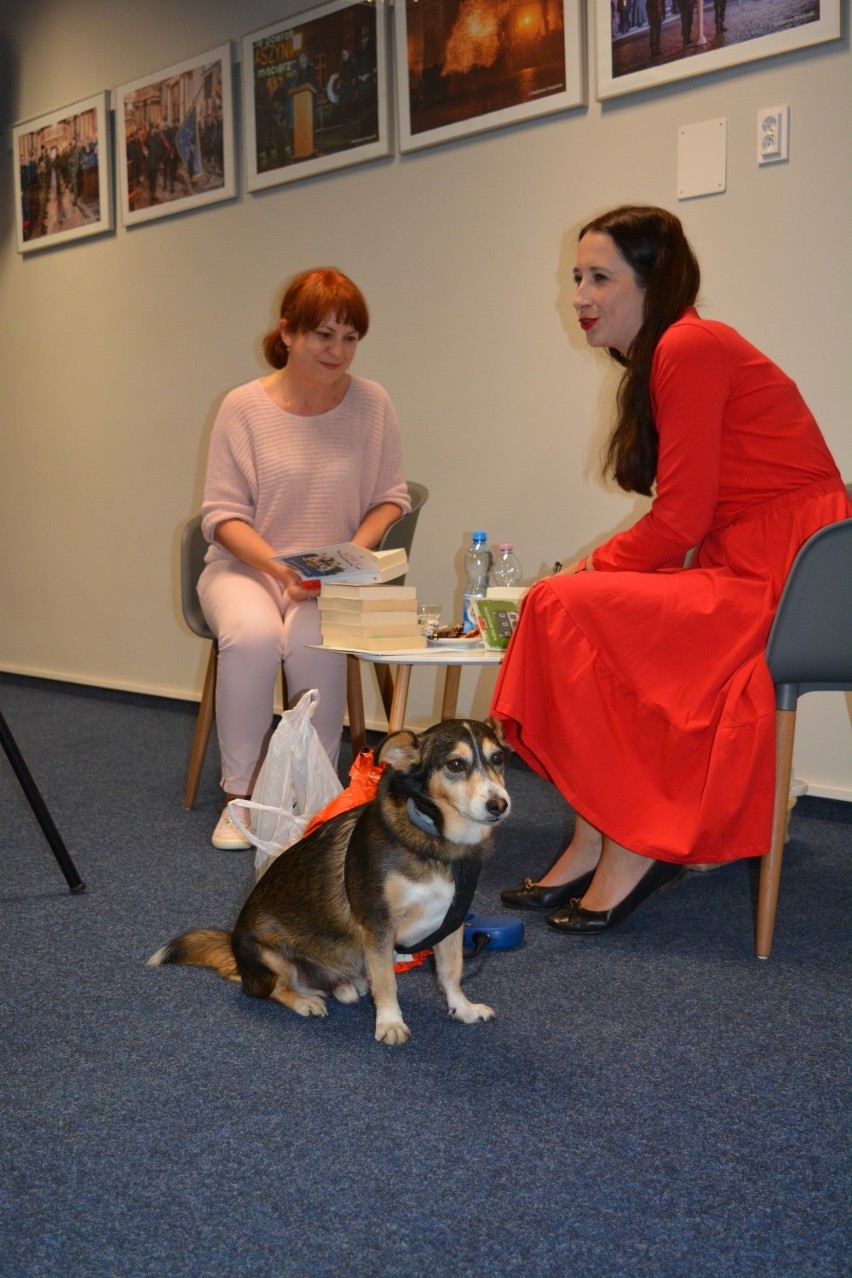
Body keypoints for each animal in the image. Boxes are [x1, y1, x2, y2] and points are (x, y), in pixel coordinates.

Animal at [149, 715, 510, 1042]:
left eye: (498, 759)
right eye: (456, 764)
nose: (499, 805)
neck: (436, 840)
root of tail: (237, 958)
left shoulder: (452, 921)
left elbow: (451, 972)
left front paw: (463, 1009)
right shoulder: (377, 924)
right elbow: (387, 981)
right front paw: (390, 1023)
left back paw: (346, 985)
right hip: (268, 956)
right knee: (271, 989)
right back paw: (305, 1001)